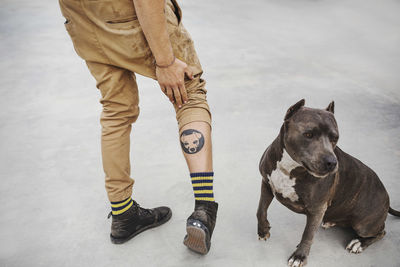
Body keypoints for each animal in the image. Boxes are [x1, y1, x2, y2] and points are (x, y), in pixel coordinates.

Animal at [258, 100, 398, 267]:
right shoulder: (266, 183)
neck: (290, 167)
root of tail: (386, 195)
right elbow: (261, 210)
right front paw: (263, 230)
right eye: (308, 134)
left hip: (363, 225)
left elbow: (308, 234)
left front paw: (299, 256)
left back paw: (359, 243)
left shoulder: (317, 209)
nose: (332, 162)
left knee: (381, 232)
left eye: (335, 138)